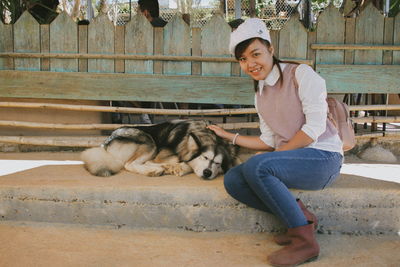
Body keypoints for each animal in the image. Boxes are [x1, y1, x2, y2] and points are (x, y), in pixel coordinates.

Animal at [79, 121, 239, 180]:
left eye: (218, 163)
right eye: (204, 158)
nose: (207, 173)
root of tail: (105, 143)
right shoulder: (163, 155)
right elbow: (181, 161)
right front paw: (179, 167)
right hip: (149, 142)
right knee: (129, 164)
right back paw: (154, 170)